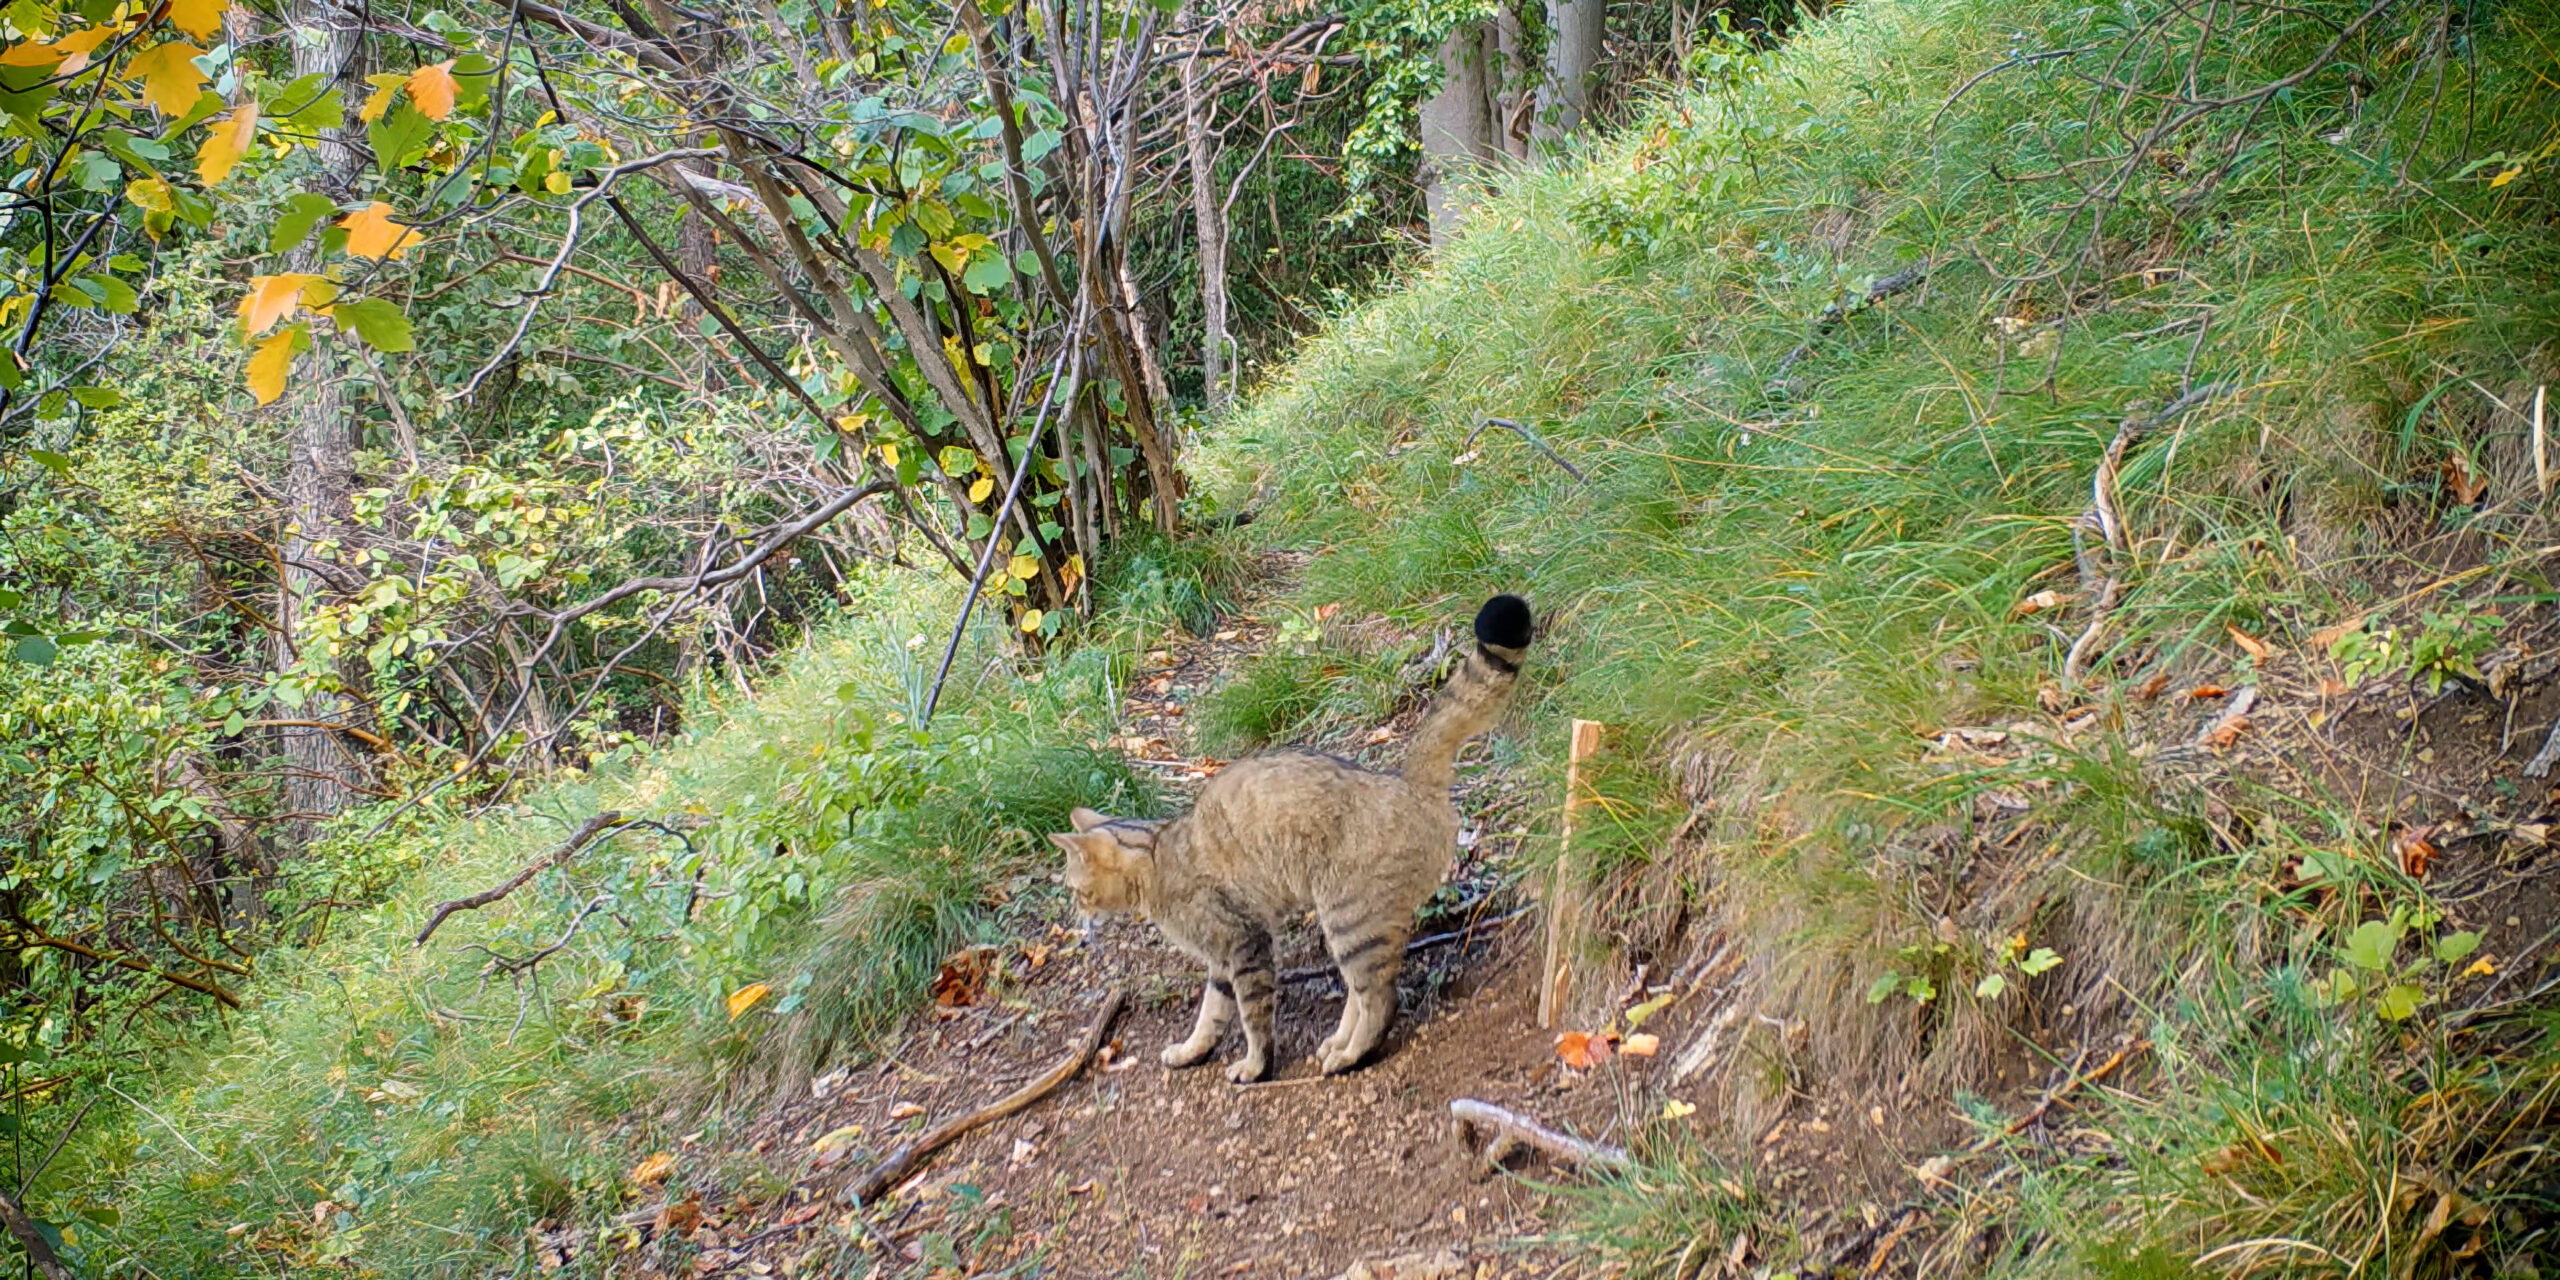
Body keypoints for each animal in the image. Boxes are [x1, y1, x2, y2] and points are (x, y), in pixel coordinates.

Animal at [1044, 593, 1525, 1075]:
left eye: (1076, 890)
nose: (1078, 920)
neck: (1158, 856)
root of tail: (1408, 782)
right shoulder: (1222, 958)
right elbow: (1210, 1014)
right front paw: (1192, 1050)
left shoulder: (1244, 943)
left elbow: (1252, 1016)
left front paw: (1255, 1067)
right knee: (1360, 993)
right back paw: (1336, 1044)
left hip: (1349, 917)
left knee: (1378, 998)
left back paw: (1350, 1055)